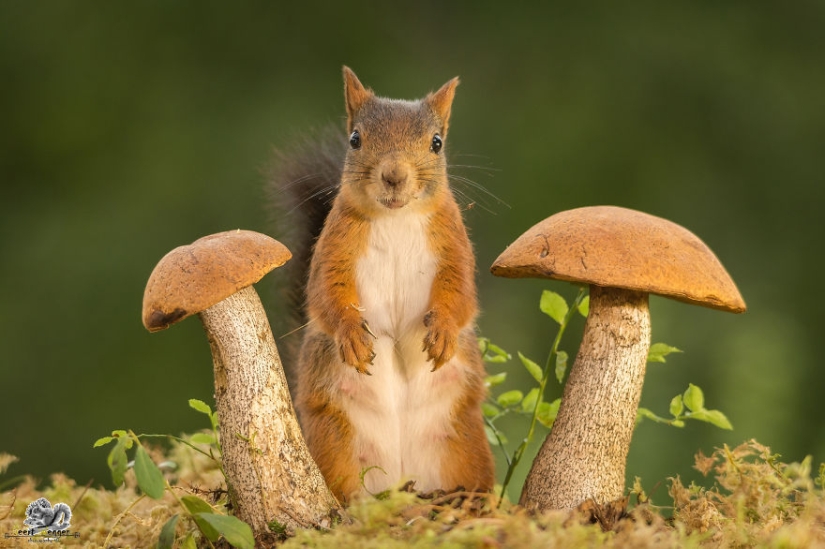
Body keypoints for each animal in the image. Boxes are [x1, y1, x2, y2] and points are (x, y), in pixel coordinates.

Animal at [270, 67, 495, 502]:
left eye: (437, 143)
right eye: (355, 139)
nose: (394, 175)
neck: (396, 217)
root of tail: (403, 480)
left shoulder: (454, 246)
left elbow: (461, 294)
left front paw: (443, 333)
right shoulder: (334, 247)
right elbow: (324, 294)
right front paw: (352, 337)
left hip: (463, 444)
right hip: (335, 443)